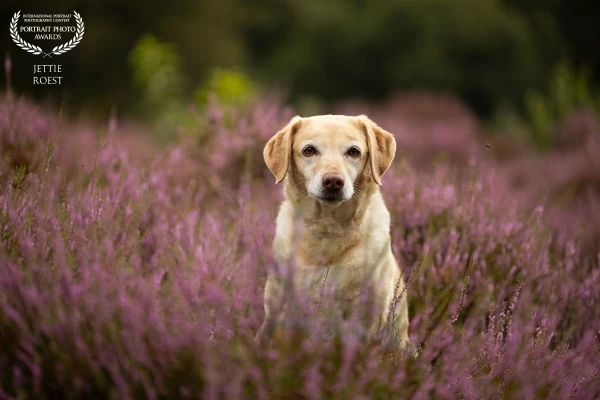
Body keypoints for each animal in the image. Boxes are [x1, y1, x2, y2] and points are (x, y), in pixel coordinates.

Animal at [258, 114, 412, 348]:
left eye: (354, 151)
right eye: (309, 150)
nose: (333, 181)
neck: (328, 229)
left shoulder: (368, 319)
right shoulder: (281, 313)